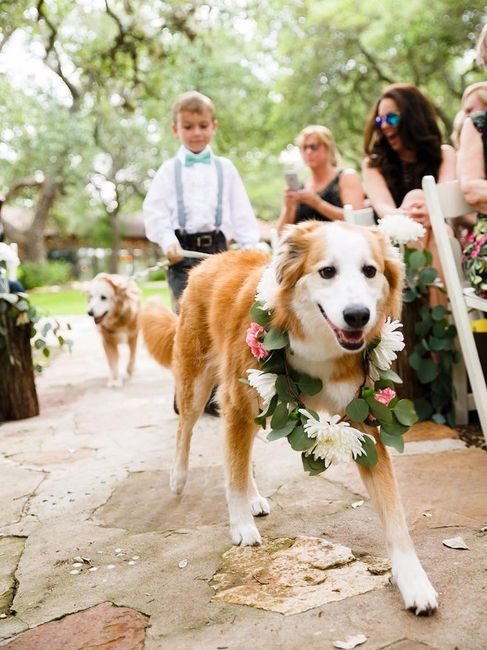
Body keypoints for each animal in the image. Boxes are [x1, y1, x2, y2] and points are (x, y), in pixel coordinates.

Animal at [140, 221, 438, 612]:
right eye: (327, 272)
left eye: (370, 271)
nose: (358, 315)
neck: (319, 344)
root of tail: (212, 260)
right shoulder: (236, 402)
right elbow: (233, 471)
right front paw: (241, 526)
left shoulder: (364, 423)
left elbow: (393, 512)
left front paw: (414, 581)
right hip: (200, 385)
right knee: (187, 430)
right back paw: (179, 477)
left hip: (260, 403)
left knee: (241, 452)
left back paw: (253, 497)